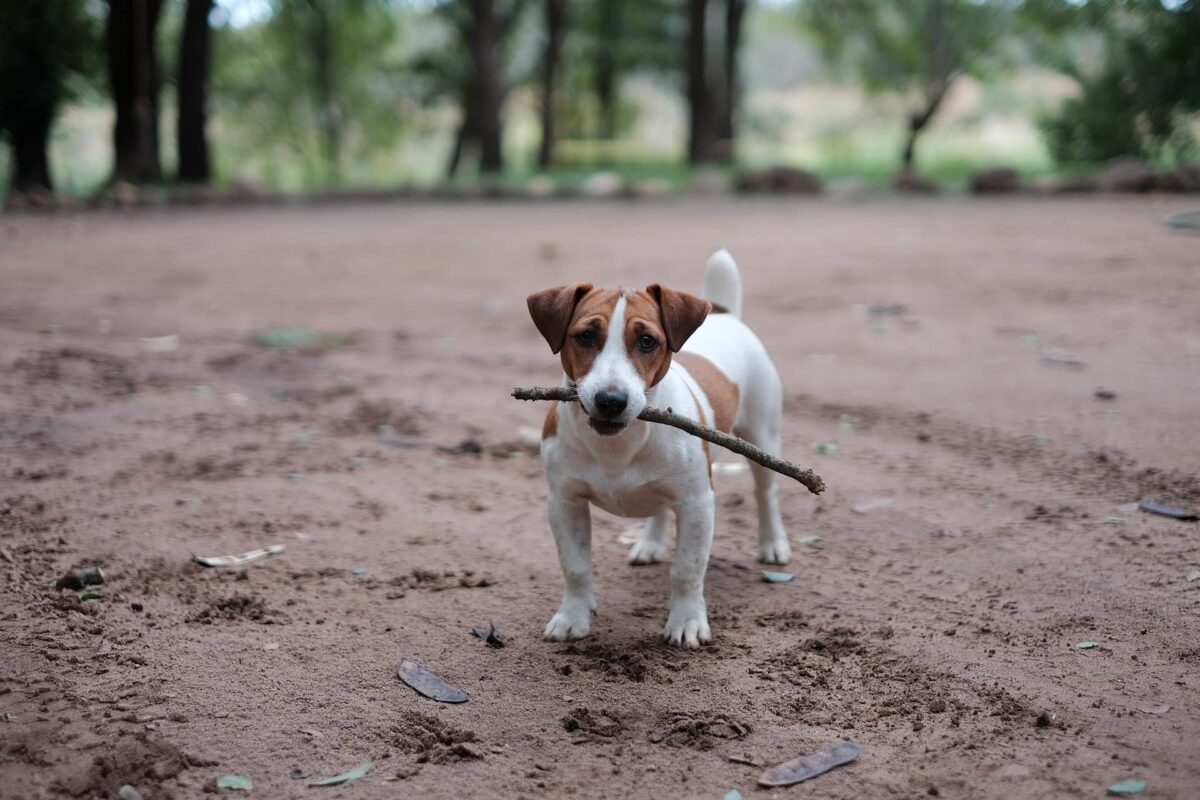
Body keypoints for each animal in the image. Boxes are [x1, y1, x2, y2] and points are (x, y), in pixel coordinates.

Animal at [525, 250, 787, 652]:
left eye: (648, 341)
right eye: (585, 336)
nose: (611, 400)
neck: (618, 445)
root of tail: (723, 313)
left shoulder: (697, 503)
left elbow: (687, 569)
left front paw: (687, 621)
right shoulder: (564, 502)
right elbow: (575, 566)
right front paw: (572, 617)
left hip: (762, 437)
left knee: (765, 492)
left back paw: (772, 543)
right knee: (659, 507)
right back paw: (649, 544)